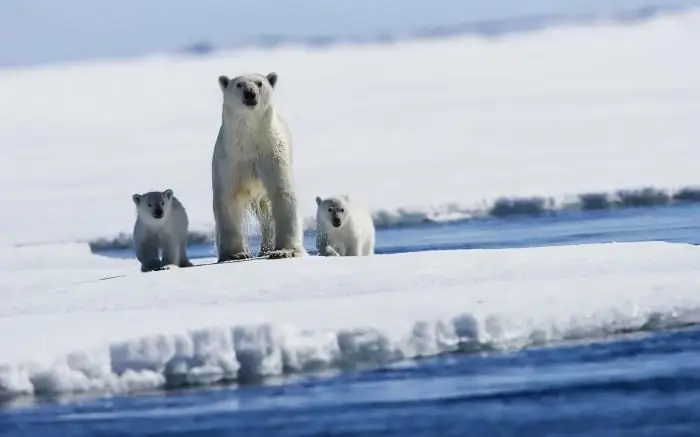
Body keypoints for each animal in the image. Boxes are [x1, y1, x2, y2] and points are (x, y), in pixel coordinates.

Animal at [209, 73, 304, 260]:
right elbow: (227, 199)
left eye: (259, 83)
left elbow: (282, 193)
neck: (250, 142)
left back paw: (266, 249)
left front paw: (284, 251)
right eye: (239, 84)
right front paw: (236, 253)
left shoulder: (272, 154)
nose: (250, 94)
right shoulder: (229, 160)